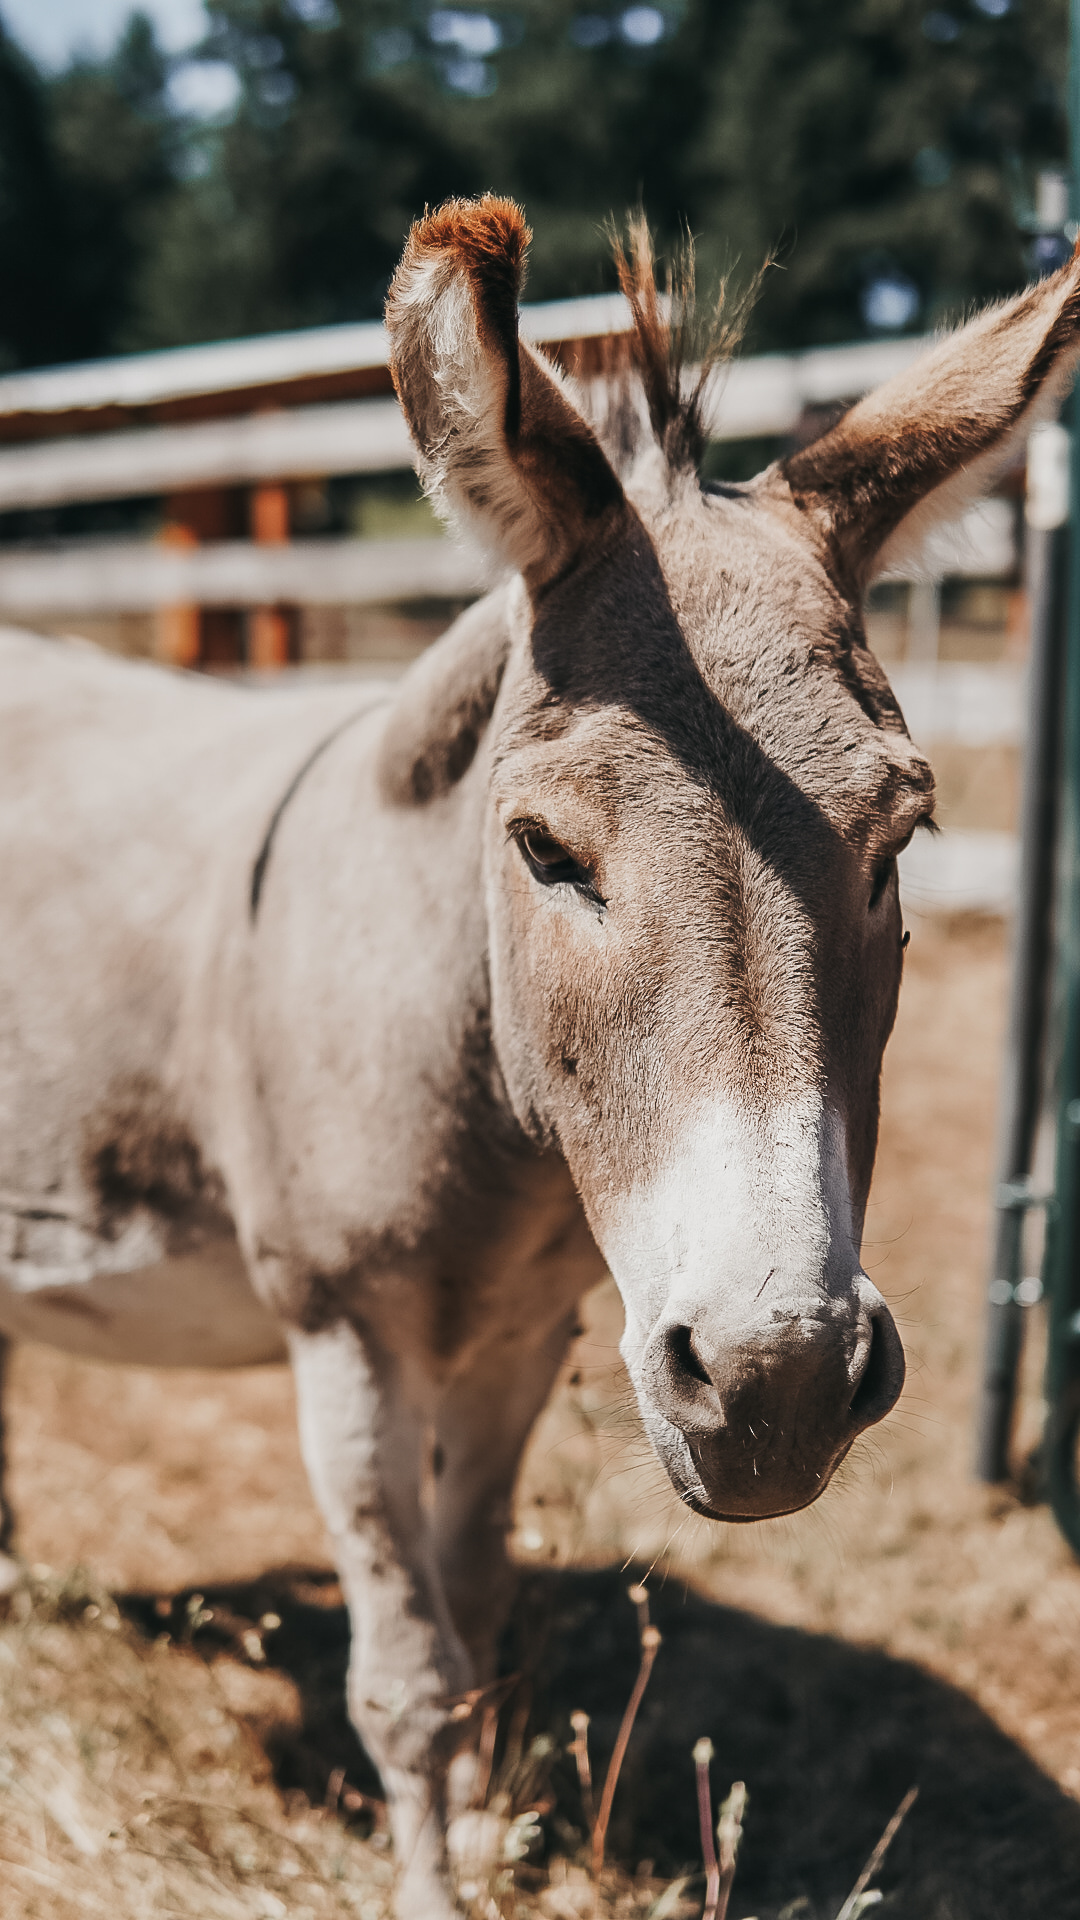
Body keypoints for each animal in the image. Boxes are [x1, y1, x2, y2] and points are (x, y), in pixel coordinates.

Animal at [1, 197, 1077, 1918]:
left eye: (903, 841)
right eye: (544, 851)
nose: (779, 1386)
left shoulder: (528, 1336)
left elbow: (483, 1624)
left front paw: (492, 1832)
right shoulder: (350, 1336)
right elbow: (403, 1675)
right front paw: (434, 1889)